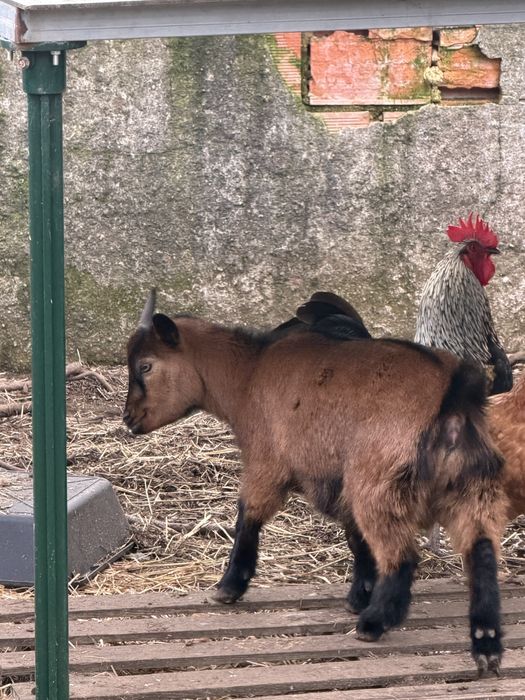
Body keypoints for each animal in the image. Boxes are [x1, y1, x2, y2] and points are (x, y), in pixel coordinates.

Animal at [124, 290, 508, 674]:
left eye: (146, 366)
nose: (128, 418)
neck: (248, 374)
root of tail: (454, 396)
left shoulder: (268, 463)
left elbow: (248, 515)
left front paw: (230, 586)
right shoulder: (338, 481)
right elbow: (355, 538)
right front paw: (357, 595)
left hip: (377, 483)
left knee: (402, 555)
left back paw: (374, 623)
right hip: (469, 485)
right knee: (481, 552)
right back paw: (486, 642)